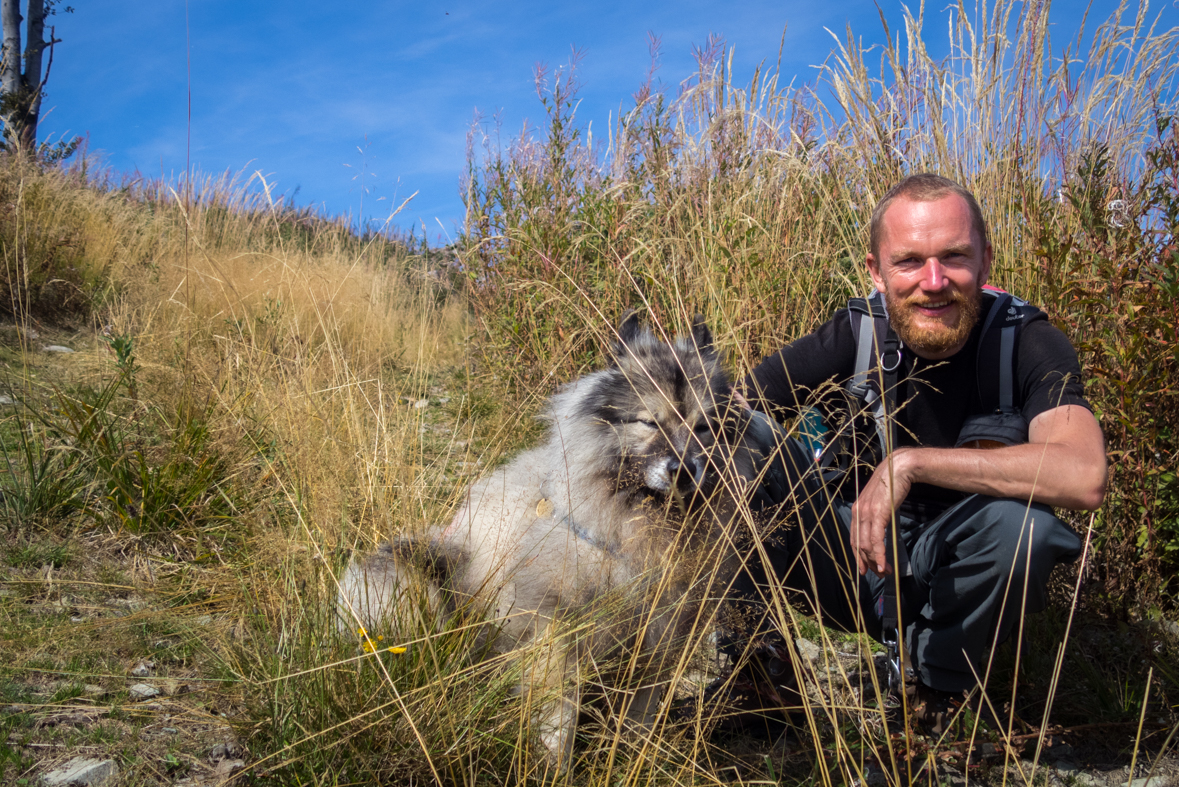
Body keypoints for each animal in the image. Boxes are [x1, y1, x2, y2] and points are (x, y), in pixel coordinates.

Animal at [339, 313, 782, 768]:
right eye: (648, 422)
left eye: (704, 428)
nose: (683, 471)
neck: (634, 525)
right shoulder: (554, 636)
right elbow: (559, 720)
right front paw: (556, 766)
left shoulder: (657, 643)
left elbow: (638, 719)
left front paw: (630, 758)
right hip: (415, 578)